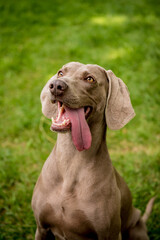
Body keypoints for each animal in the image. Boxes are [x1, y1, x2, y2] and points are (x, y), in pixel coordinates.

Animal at [31, 62, 154, 240]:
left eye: (90, 79)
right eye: (60, 73)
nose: (56, 86)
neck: (71, 161)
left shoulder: (109, 233)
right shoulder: (41, 228)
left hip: (135, 229)